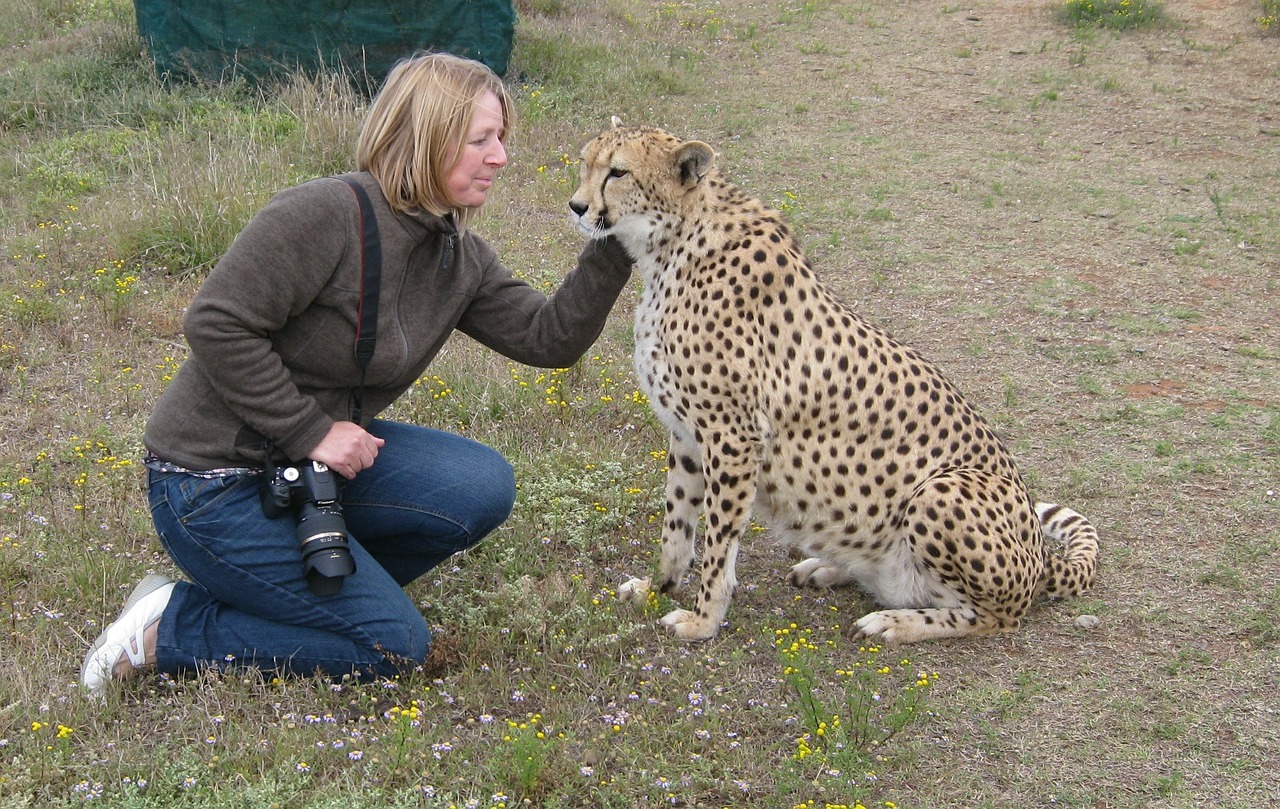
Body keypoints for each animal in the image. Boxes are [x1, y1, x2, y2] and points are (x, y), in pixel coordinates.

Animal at [570, 118, 1100, 645]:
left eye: (618, 172)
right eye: (585, 162)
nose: (577, 207)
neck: (675, 241)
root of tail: (1040, 554)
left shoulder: (733, 437)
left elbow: (719, 543)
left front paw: (703, 620)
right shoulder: (687, 435)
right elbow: (676, 525)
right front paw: (657, 588)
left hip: (942, 489)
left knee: (996, 617)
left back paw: (895, 622)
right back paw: (830, 569)